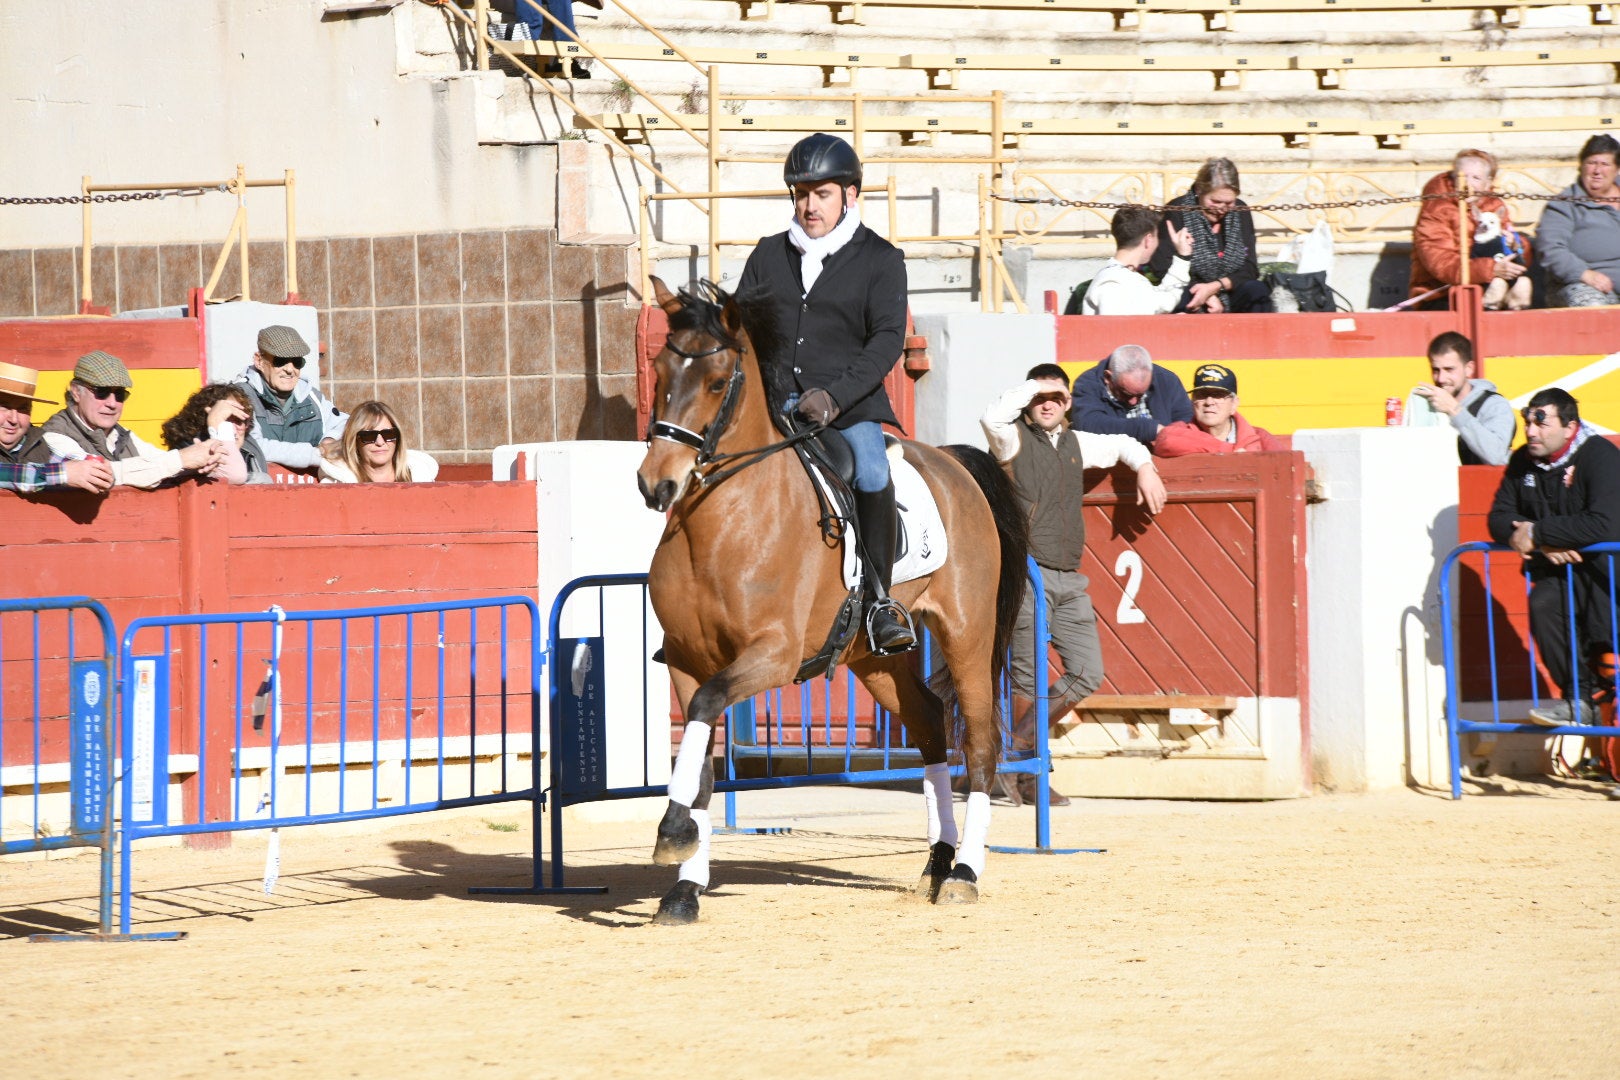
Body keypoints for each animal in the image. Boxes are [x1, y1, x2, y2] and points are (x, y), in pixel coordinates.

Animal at [631, 276, 1023, 919]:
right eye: (661, 371)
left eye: (716, 381)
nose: (655, 483)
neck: (721, 524)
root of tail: (951, 459)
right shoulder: (687, 662)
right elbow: (701, 760)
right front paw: (684, 887)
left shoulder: (772, 654)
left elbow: (709, 711)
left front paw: (671, 833)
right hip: (872, 660)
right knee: (930, 723)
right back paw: (938, 862)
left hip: (967, 631)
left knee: (981, 741)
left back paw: (964, 872)